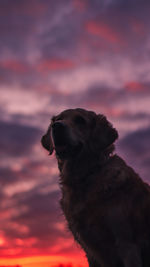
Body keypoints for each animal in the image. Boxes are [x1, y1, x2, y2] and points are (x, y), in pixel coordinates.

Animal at [40, 109, 150, 267]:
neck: (85, 177)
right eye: (57, 119)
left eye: (80, 120)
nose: (57, 126)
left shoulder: (127, 244)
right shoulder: (90, 250)